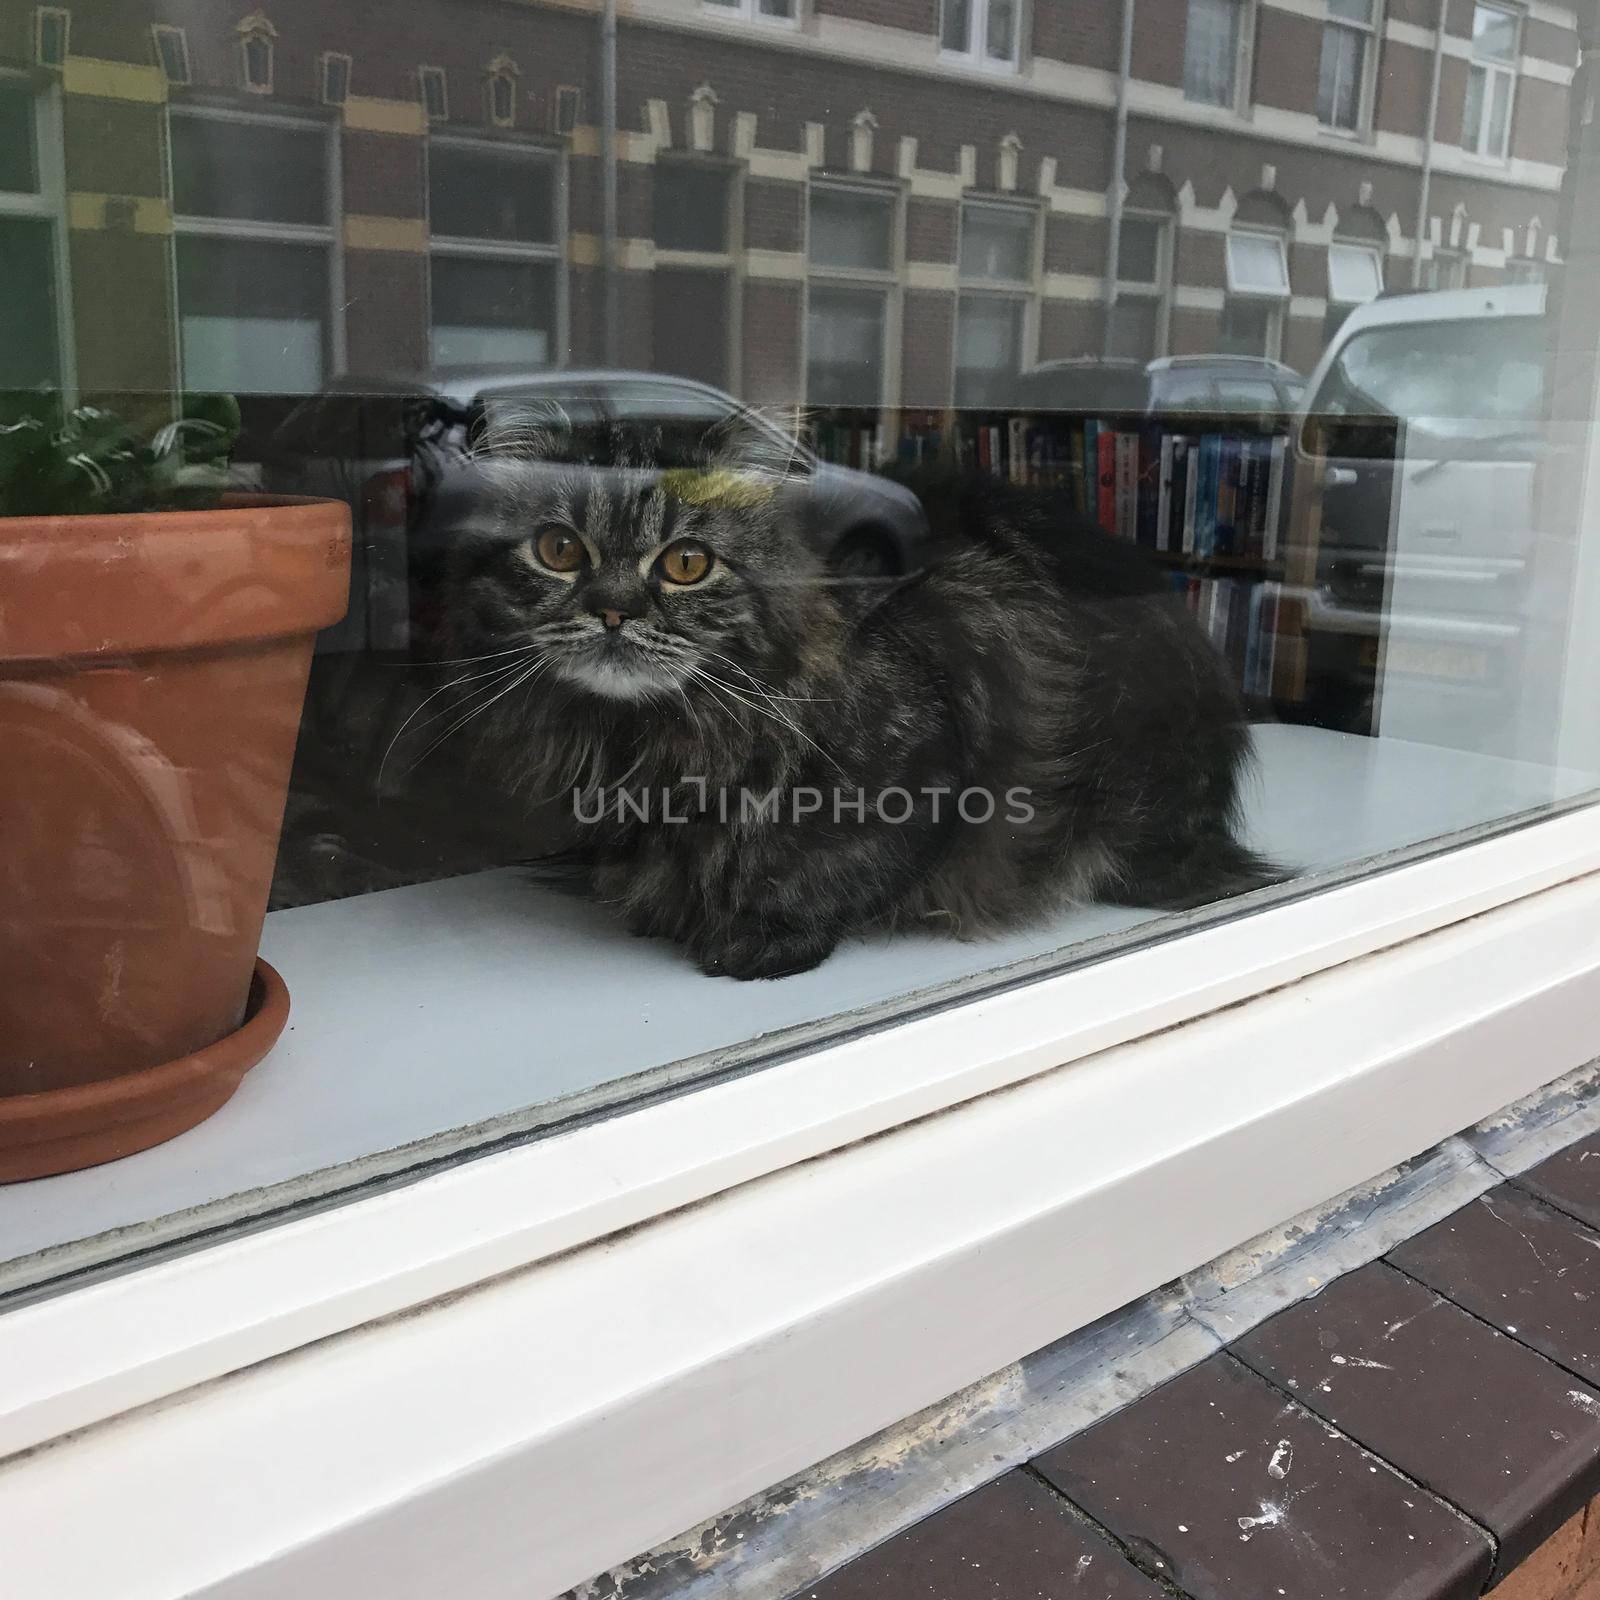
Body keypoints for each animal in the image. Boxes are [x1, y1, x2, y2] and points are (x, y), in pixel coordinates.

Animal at [438, 412, 1286, 979]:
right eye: (559, 550)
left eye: (685, 563)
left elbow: (844, 866)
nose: (613, 610)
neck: (658, 738)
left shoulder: (938, 760)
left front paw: (757, 936)